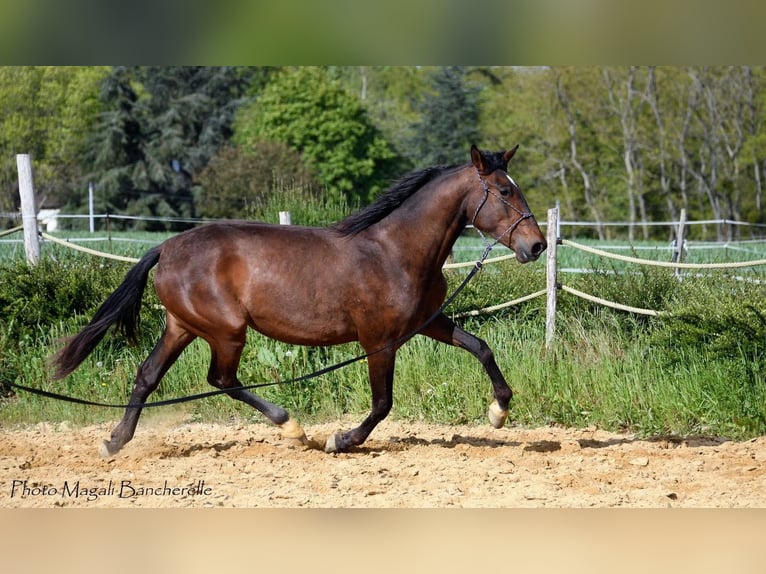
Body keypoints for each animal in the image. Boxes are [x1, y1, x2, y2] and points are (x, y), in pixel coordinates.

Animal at [52, 146, 544, 456]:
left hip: (183, 325)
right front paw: (340, 440)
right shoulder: (378, 340)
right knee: (221, 379)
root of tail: (168, 247)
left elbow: (481, 348)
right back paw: (293, 428)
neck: (394, 251)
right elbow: (382, 403)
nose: (536, 245)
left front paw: (498, 412)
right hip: (225, 331)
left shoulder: (429, 322)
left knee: (147, 376)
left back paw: (114, 441)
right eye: (504, 191)